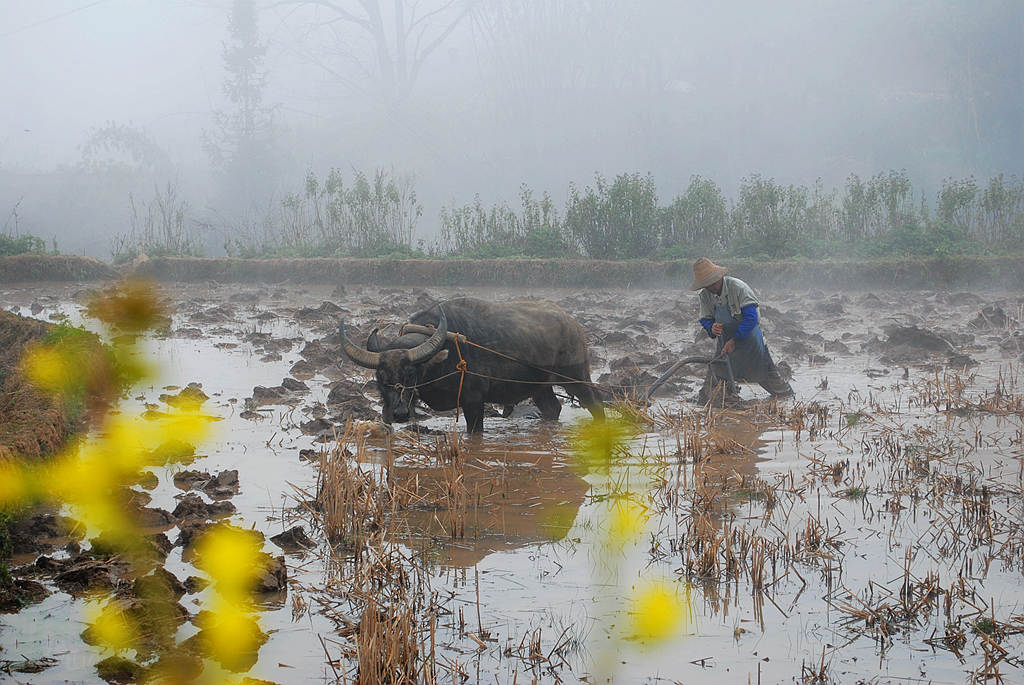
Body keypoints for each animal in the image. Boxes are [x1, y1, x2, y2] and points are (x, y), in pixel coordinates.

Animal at [339, 294, 602, 432]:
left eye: (411, 374)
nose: (400, 413)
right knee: (552, 408)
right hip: (540, 387)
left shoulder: (474, 402)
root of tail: (573, 325)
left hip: (576, 377)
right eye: (382, 379)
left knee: (596, 405)